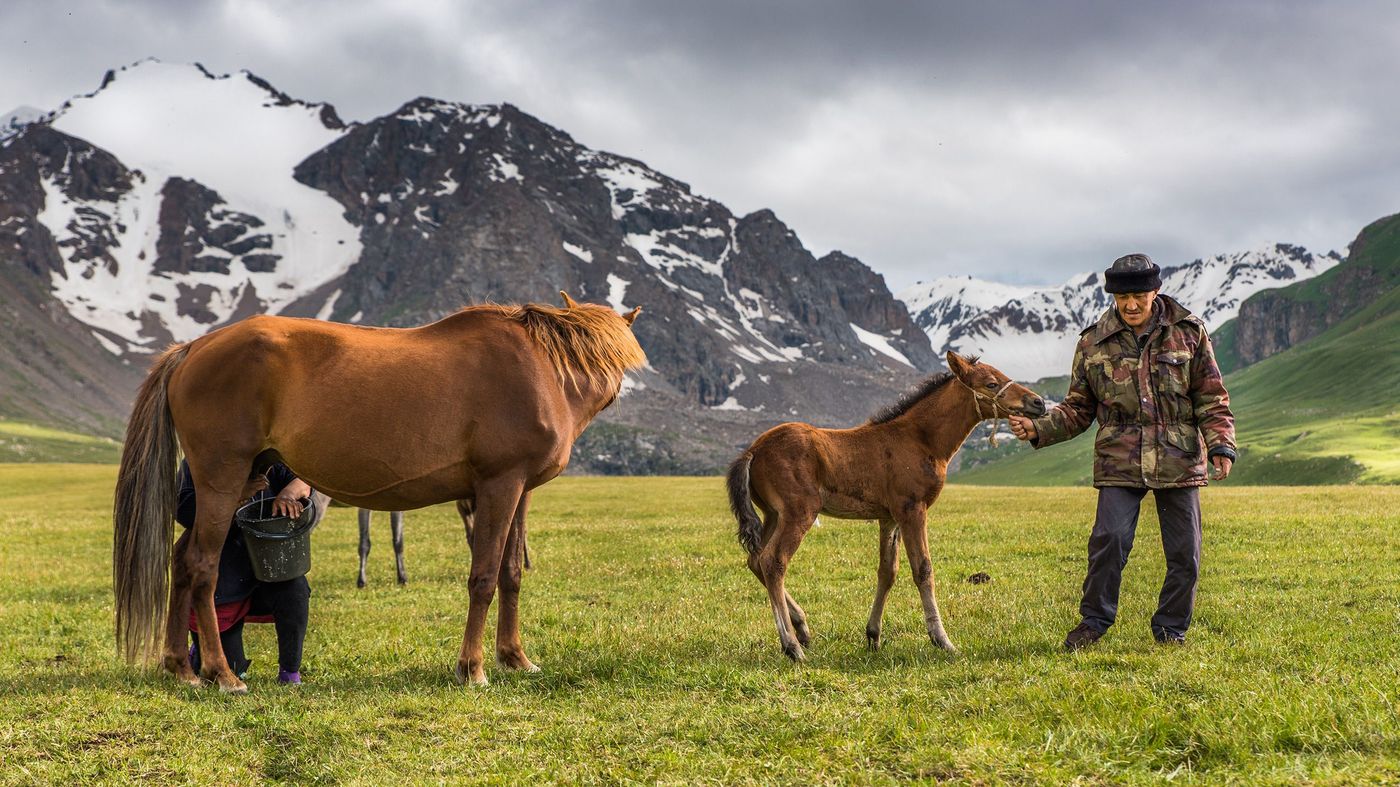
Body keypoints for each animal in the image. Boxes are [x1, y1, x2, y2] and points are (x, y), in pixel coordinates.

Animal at [113, 293, 644, 693]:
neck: (543, 371)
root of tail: (193, 348)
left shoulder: (521, 490)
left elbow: (511, 573)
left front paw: (515, 658)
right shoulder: (499, 485)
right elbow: (483, 577)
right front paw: (472, 668)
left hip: (238, 481)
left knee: (181, 561)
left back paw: (181, 667)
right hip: (222, 480)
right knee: (202, 566)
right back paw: (222, 674)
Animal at [726, 351, 1046, 662]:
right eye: (992, 383)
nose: (1038, 402)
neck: (920, 439)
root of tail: (753, 451)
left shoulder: (889, 518)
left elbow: (887, 571)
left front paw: (873, 636)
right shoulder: (912, 509)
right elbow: (923, 569)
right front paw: (942, 640)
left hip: (773, 515)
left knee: (756, 560)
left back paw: (802, 627)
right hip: (798, 513)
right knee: (773, 562)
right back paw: (792, 646)